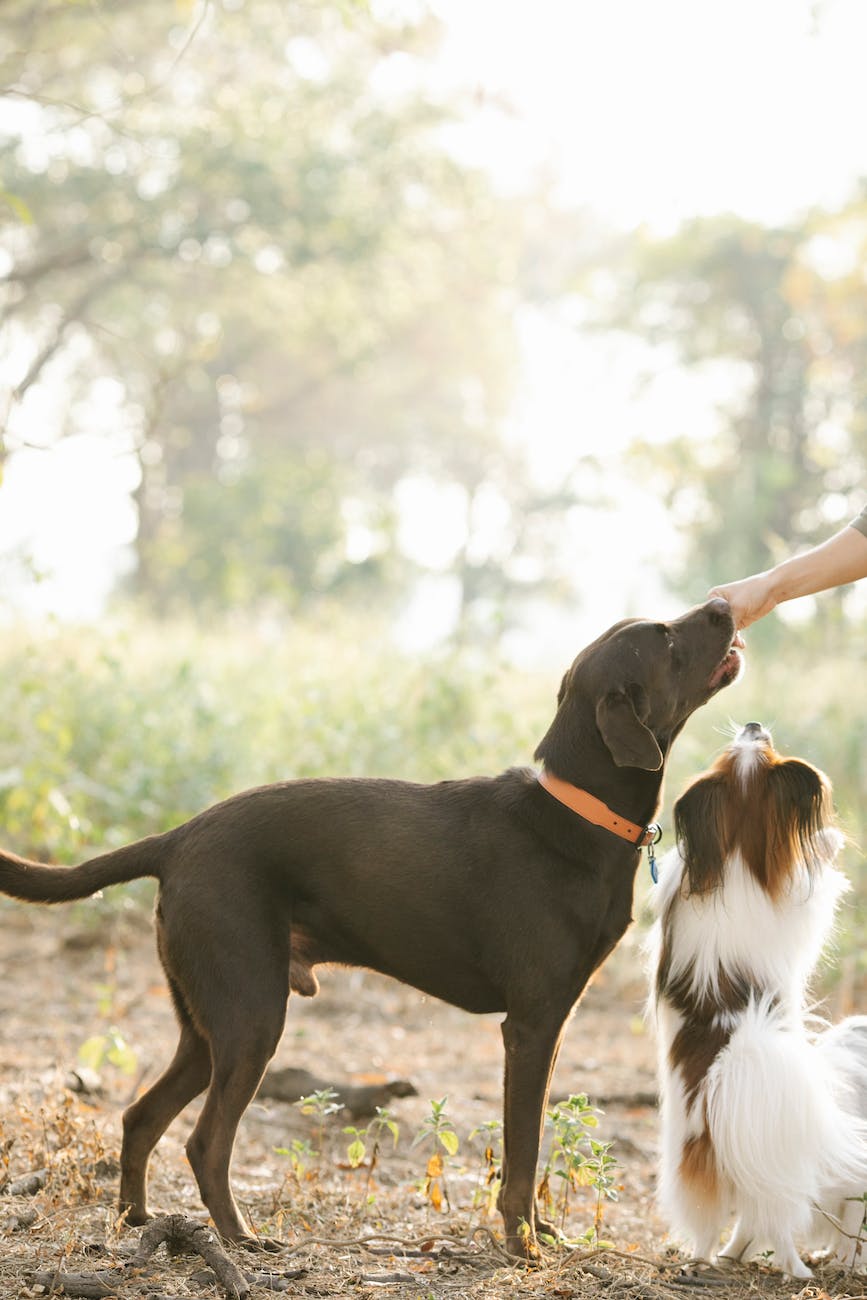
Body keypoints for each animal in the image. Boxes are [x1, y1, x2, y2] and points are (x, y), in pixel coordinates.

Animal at [0, 603, 738, 1253]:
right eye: (668, 639)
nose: (723, 607)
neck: (575, 812)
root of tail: (177, 839)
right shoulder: (530, 1027)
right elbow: (522, 1154)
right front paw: (522, 1244)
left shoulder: (552, 1023)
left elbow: (527, 1154)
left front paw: (540, 1232)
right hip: (251, 1017)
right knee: (204, 1141)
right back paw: (239, 1237)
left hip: (206, 1025)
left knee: (140, 1116)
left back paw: (136, 1220)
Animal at [649, 728, 867, 1274]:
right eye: (765, 748)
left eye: (745, 750)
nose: (752, 725)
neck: (736, 854)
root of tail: (729, 1067)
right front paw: (829, 842)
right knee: (779, 1222)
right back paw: (798, 1268)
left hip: (695, 1168)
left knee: (718, 1223)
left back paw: (707, 1259)